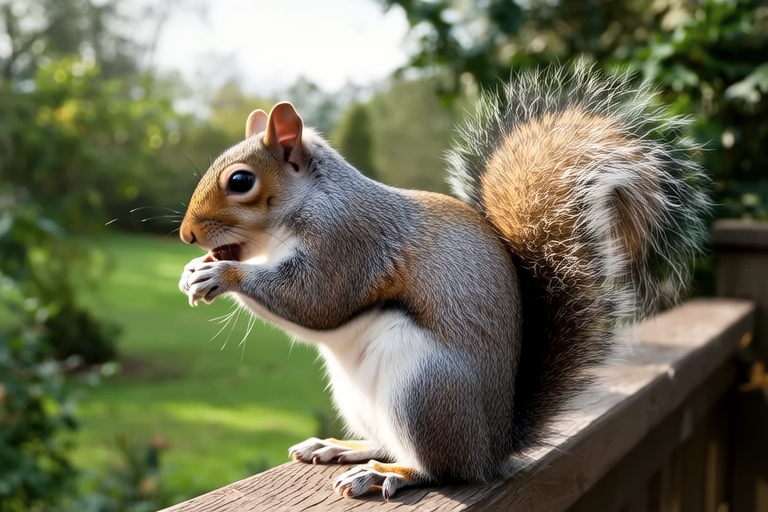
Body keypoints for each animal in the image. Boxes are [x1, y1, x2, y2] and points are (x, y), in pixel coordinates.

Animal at [178, 62, 710, 500]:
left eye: (241, 181)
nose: (187, 235)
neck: (311, 201)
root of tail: (492, 447)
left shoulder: (349, 242)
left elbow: (316, 299)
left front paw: (218, 273)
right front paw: (191, 272)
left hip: (424, 388)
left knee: (440, 469)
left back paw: (386, 474)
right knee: (387, 442)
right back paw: (342, 447)